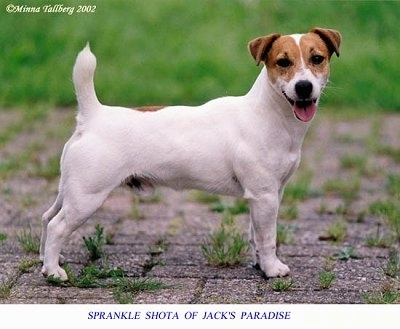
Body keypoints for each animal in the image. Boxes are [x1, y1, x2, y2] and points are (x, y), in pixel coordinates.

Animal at [39, 26, 340, 280]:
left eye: (317, 58)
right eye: (283, 62)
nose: (304, 87)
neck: (269, 114)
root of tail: (93, 116)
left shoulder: (269, 194)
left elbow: (255, 234)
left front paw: (259, 264)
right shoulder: (264, 196)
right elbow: (268, 238)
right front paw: (272, 268)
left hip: (70, 191)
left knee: (47, 217)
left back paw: (46, 260)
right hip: (87, 197)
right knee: (57, 226)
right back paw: (53, 272)